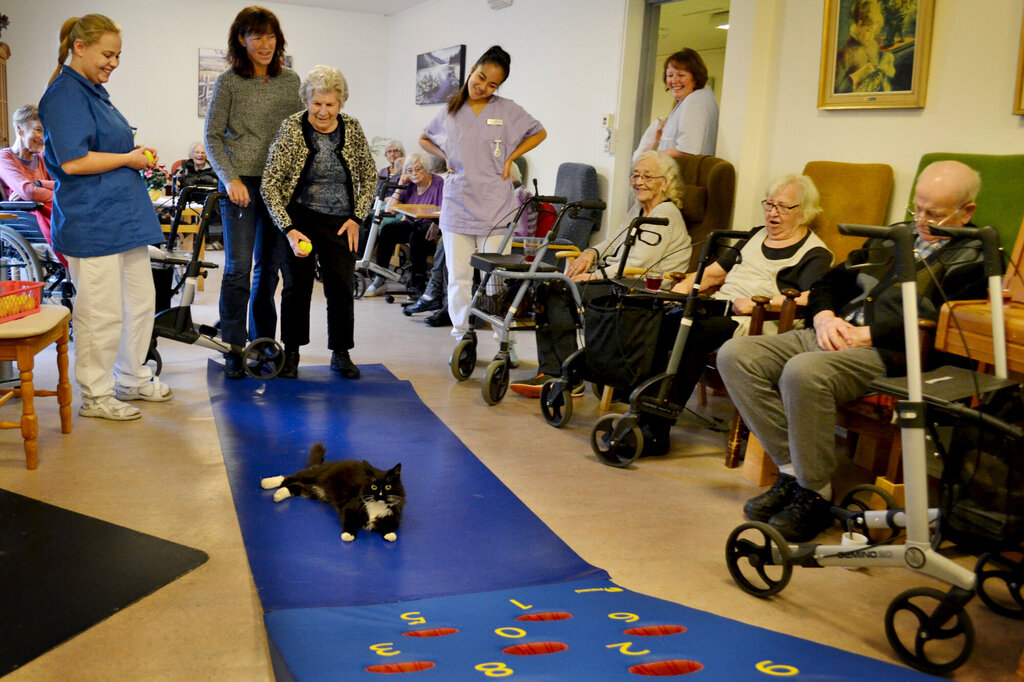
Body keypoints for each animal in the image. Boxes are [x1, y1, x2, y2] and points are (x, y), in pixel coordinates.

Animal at [260, 440, 403, 540]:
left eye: (388, 487)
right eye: (374, 486)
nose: (380, 495)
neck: (376, 506)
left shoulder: (394, 517)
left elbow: (390, 526)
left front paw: (390, 534)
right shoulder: (349, 508)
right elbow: (348, 521)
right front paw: (348, 534)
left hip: (314, 491)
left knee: (296, 485)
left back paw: (278, 494)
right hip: (312, 475)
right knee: (291, 477)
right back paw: (267, 482)